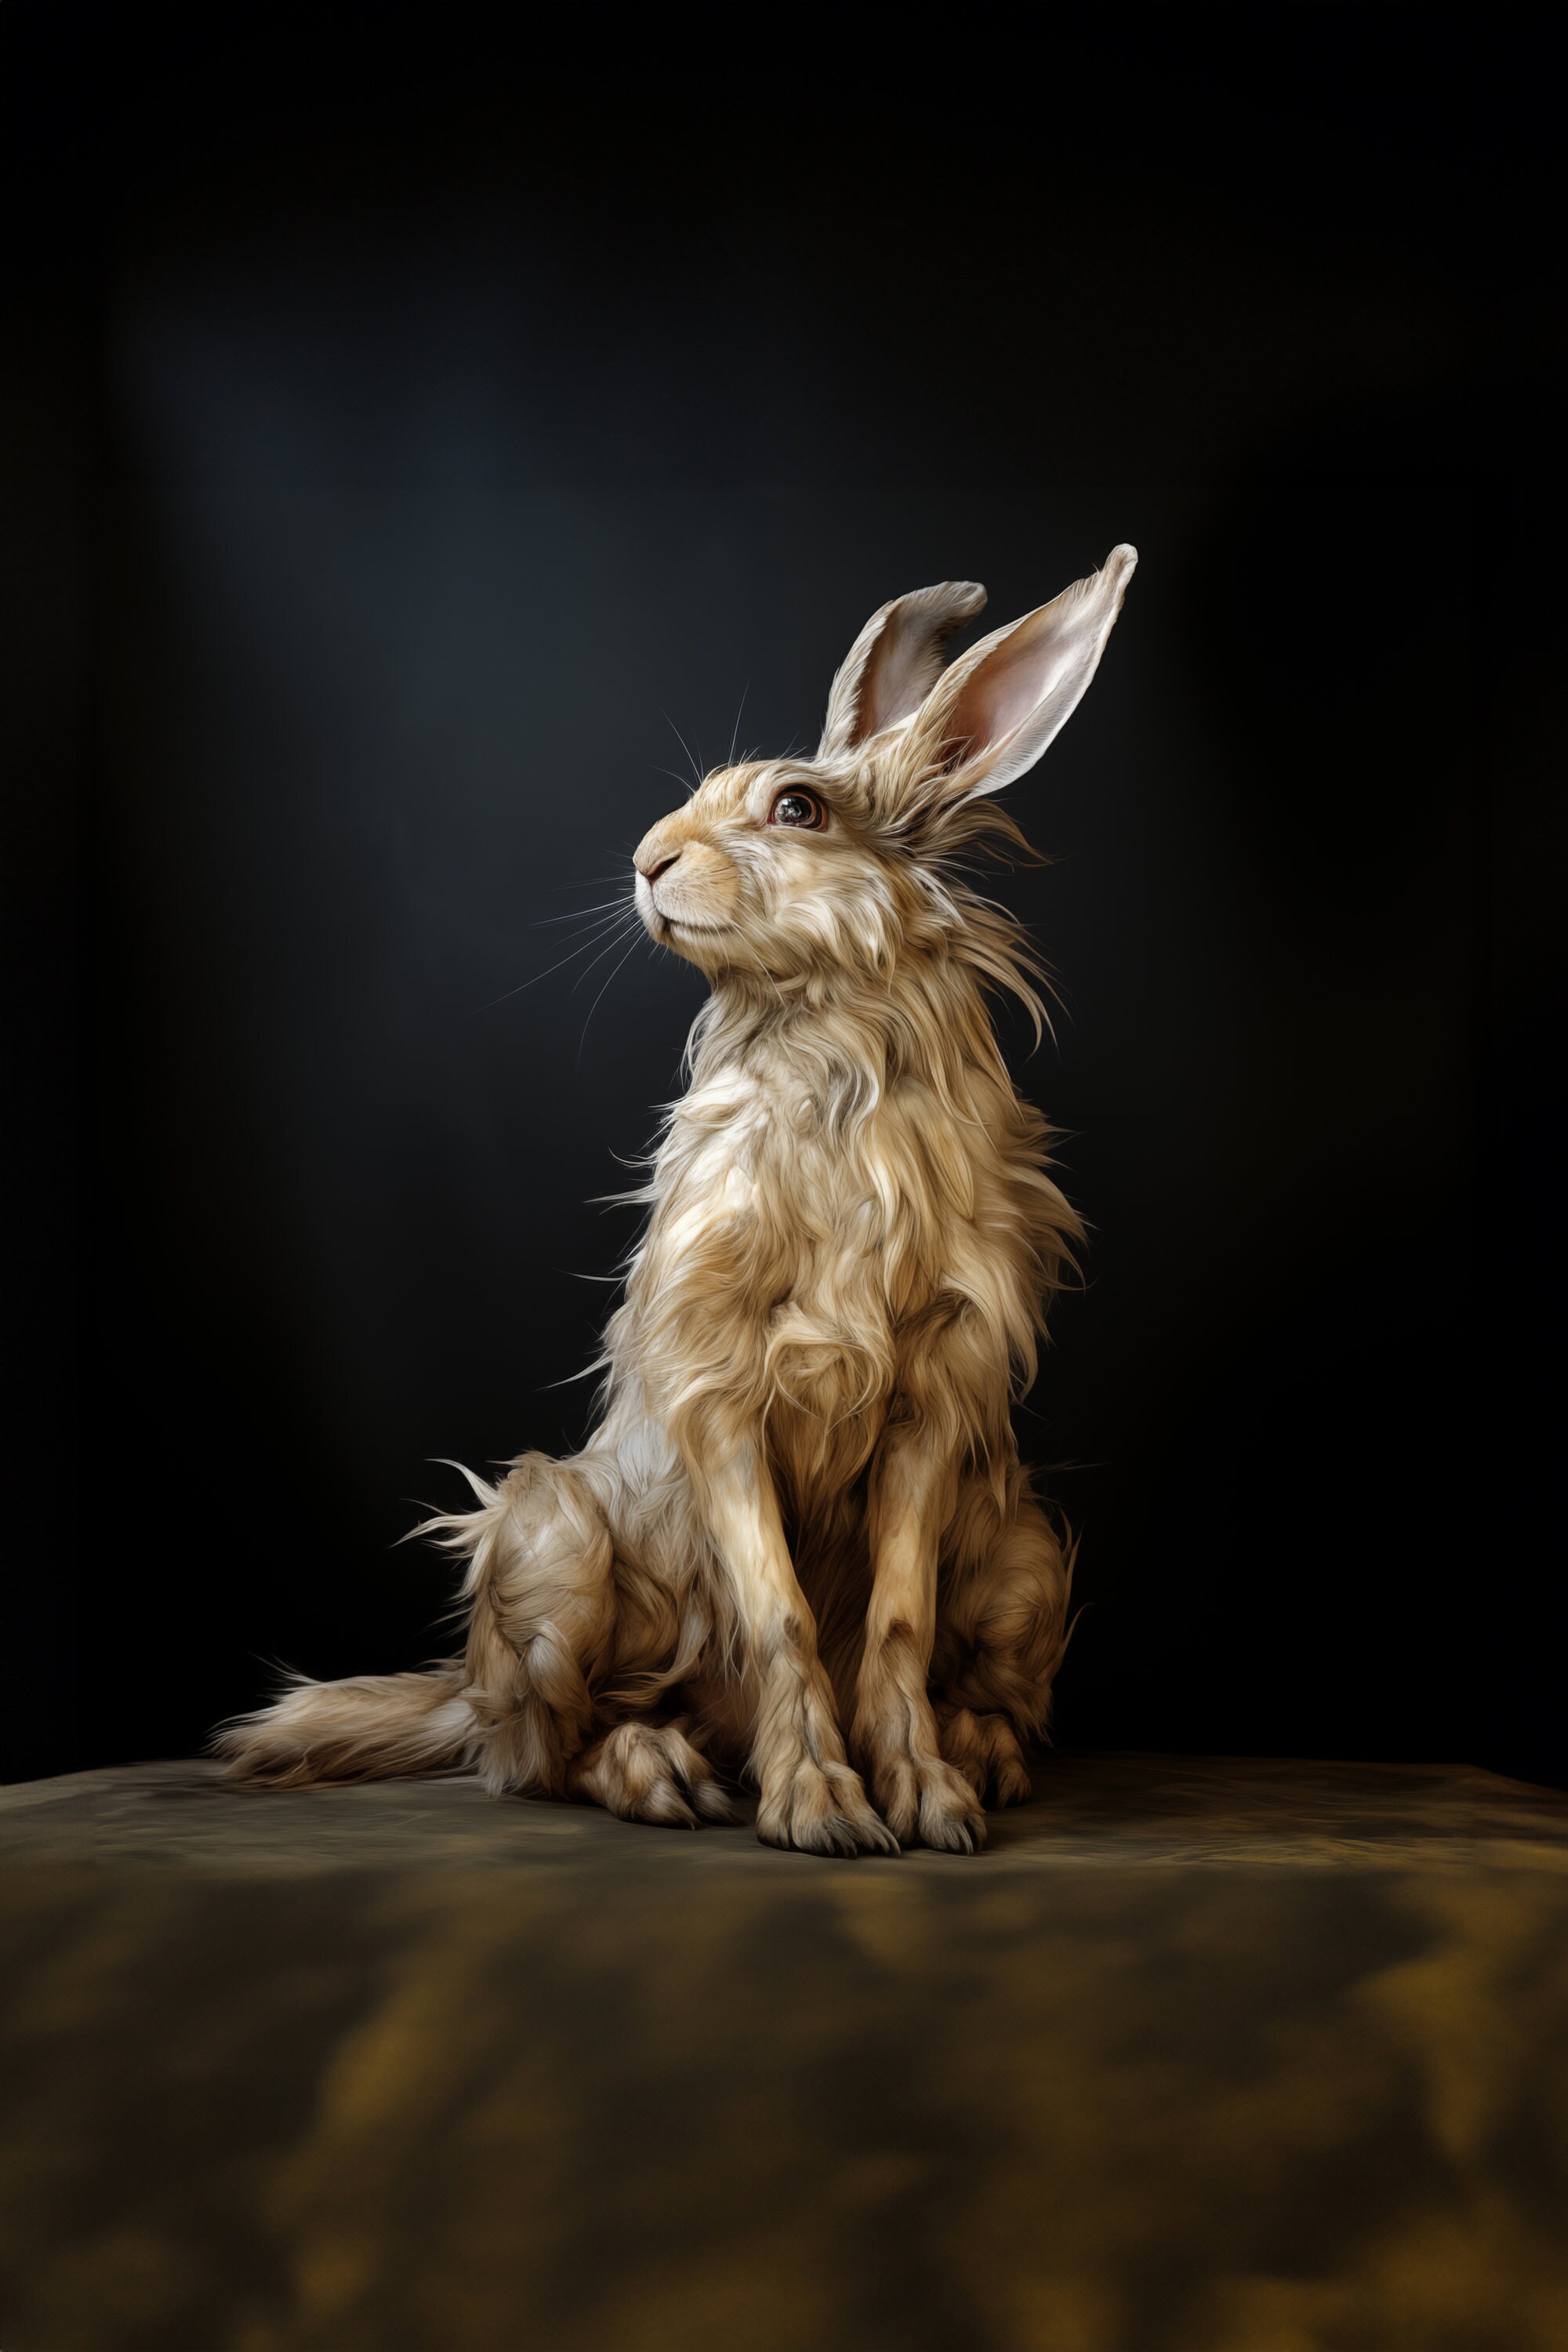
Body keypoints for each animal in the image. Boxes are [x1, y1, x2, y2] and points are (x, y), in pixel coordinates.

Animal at [218, 546, 1138, 1853]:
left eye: (799, 808)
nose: (649, 860)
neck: (821, 1040)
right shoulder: (721, 1390)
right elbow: (781, 1612)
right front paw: (821, 1808)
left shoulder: (932, 1403)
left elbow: (895, 1620)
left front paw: (922, 1798)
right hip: (551, 1541)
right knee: (540, 1748)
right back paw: (664, 1771)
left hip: (1024, 1554)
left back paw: (977, 1754)